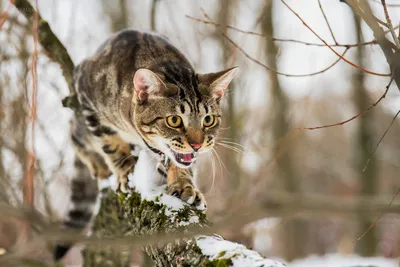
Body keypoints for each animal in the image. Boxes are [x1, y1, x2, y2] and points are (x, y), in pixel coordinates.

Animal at [55, 29, 238, 262]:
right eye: (174, 120)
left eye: (208, 120)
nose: (197, 144)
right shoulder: (85, 87)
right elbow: (109, 143)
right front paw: (125, 170)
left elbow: (181, 163)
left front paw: (184, 185)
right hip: (81, 123)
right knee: (76, 134)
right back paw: (97, 163)